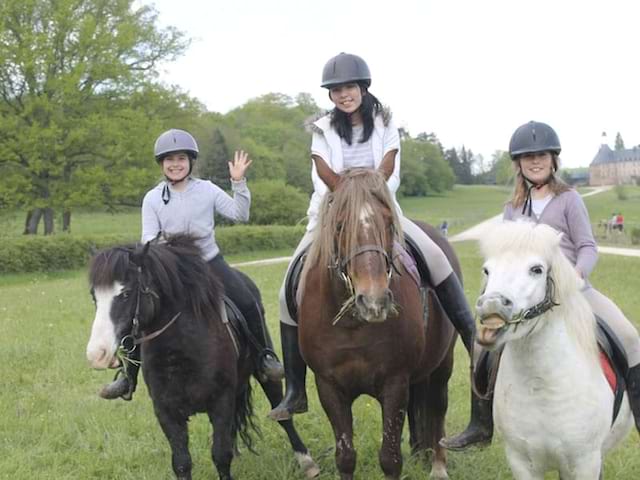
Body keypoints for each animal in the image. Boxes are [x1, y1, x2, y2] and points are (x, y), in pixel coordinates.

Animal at [86, 236, 318, 480]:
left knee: (281, 412)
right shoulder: (166, 411)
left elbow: (220, 456)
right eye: (94, 296)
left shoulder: (220, 402)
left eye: (126, 293)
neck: (179, 351)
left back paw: (305, 459)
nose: (97, 354)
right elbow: (182, 462)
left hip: (265, 376)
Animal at [298, 161, 458, 480]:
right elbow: (346, 456)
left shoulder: (395, 382)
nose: (374, 301)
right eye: (339, 225)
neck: (353, 326)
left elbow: (390, 458)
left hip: (443, 362)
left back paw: (438, 465)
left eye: (388, 222)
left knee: (438, 408)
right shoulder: (329, 386)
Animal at [476, 221, 632, 480]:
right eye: (487, 270)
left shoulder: (585, 463)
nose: (491, 306)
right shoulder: (520, 462)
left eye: (536, 269)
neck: (541, 387)